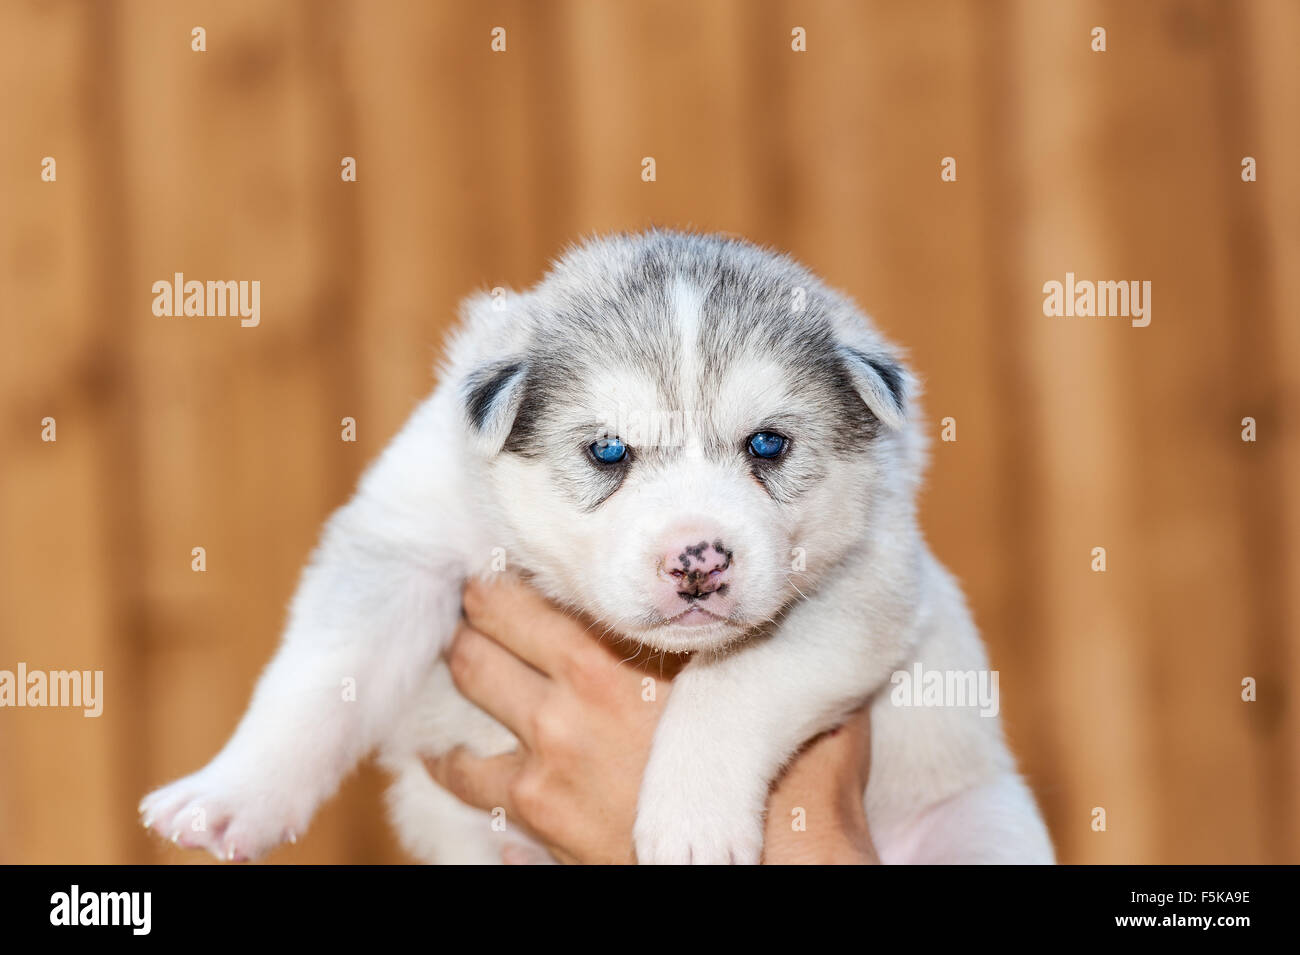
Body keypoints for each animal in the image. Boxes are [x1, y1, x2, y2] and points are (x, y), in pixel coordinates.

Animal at [139, 231, 1055, 867]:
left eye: (767, 444)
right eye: (609, 450)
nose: (699, 558)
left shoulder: (863, 587)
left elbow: (731, 687)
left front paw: (689, 821)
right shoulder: (406, 541)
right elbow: (316, 677)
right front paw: (230, 792)